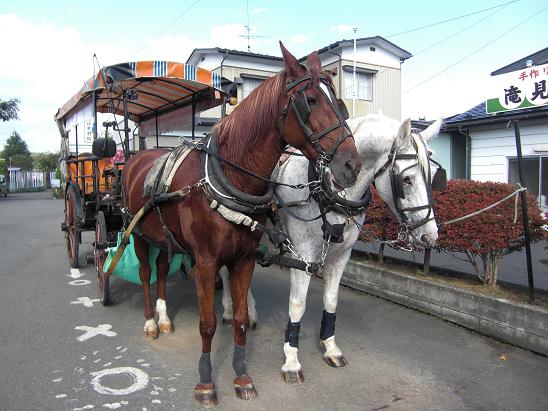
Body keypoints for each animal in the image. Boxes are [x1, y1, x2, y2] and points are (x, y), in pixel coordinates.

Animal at [122, 42, 362, 408]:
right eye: (310, 101)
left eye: (338, 101)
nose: (352, 164)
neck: (230, 177)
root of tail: (138, 157)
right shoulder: (206, 261)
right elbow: (207, 324)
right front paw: (206, 382)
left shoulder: (244, 258)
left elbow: (239, 319)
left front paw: (241, 376)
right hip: (137, 233)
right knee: (147, 273)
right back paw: (150, 322)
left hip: (163, 236)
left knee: (162, 269)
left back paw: (163, 318)